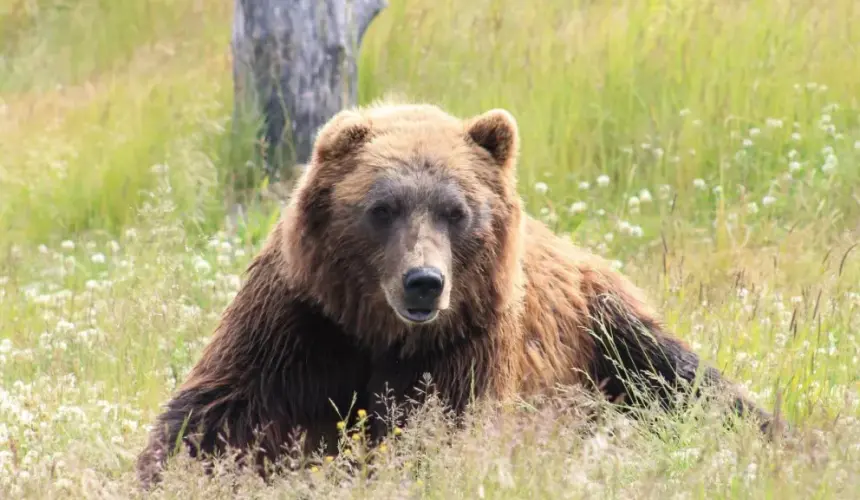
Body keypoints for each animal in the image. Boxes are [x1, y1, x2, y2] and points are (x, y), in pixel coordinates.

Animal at [136, 101, 780, 488]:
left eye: (456, 210)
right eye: (383, 207)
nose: (424, 280)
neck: (380, 332)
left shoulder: (465, 342)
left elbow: (438, 432)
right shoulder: (302, 322)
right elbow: (218, 414)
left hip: (607, 329)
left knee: (687, 382)